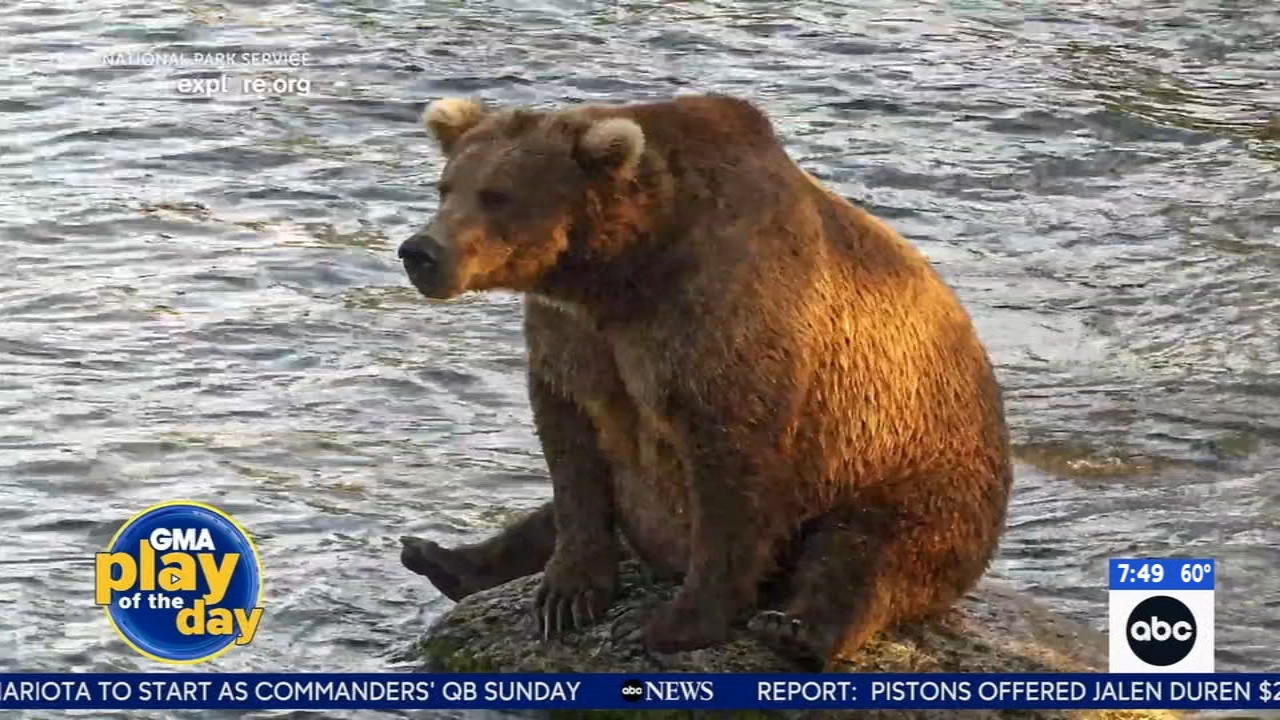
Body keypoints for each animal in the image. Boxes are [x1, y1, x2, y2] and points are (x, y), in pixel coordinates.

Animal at [397, 93, 1013, 665]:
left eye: (497, 194)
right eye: (446, 187)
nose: (420, 250)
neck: (623, 270)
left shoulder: (725, 316)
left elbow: (732, 471)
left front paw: (673, 622)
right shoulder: (573, 335)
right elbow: (572, 450)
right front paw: (567, 594)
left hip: (912, 467)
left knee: (868, 552)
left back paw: (796, 629)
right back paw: (440, 557)